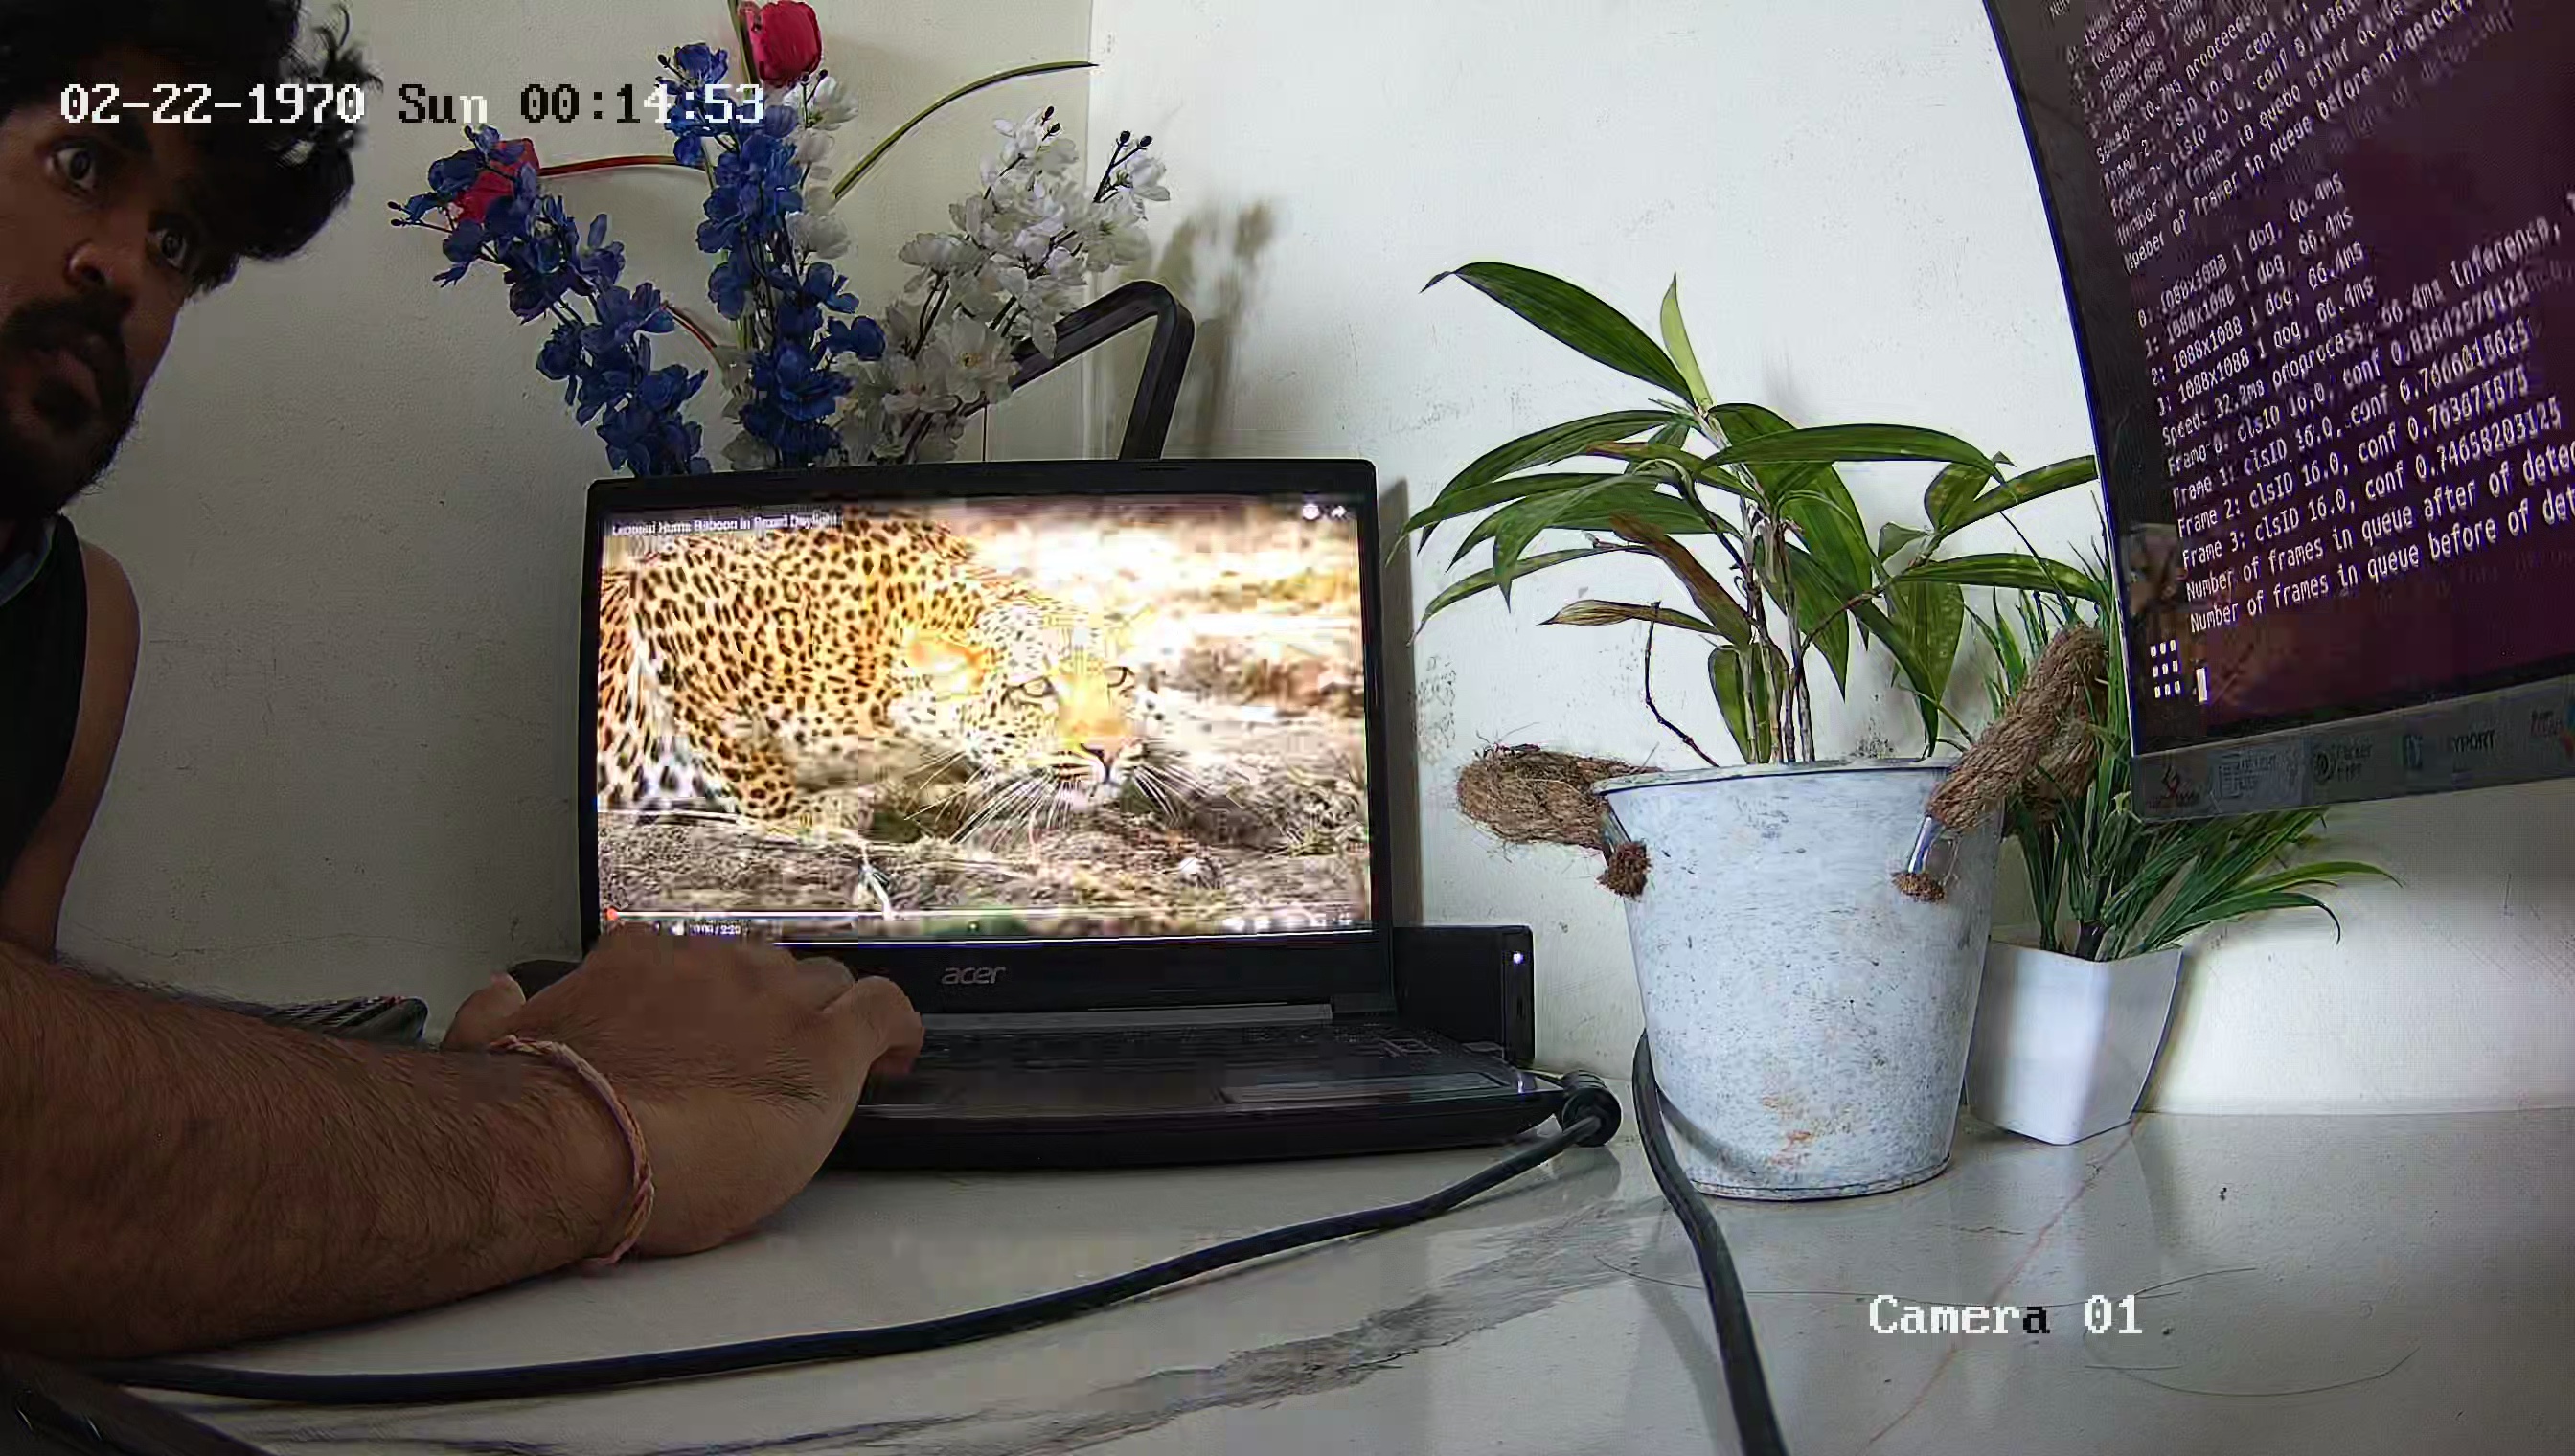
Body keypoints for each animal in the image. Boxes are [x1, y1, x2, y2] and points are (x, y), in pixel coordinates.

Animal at [596, 509, 1178, 842]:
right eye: (1037, 689)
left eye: (1118, 677)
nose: (1110, 751)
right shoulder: (670, 585)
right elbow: (741, 757)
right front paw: (806, 815)